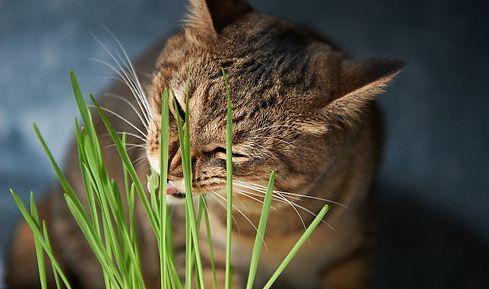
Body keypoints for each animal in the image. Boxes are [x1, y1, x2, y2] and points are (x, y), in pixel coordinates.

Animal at [5, 0, 402, 288]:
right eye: (179, 109)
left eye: (229, 152)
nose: (169, 165)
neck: (269, 230)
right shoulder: (196, 255)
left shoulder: (355, 248)